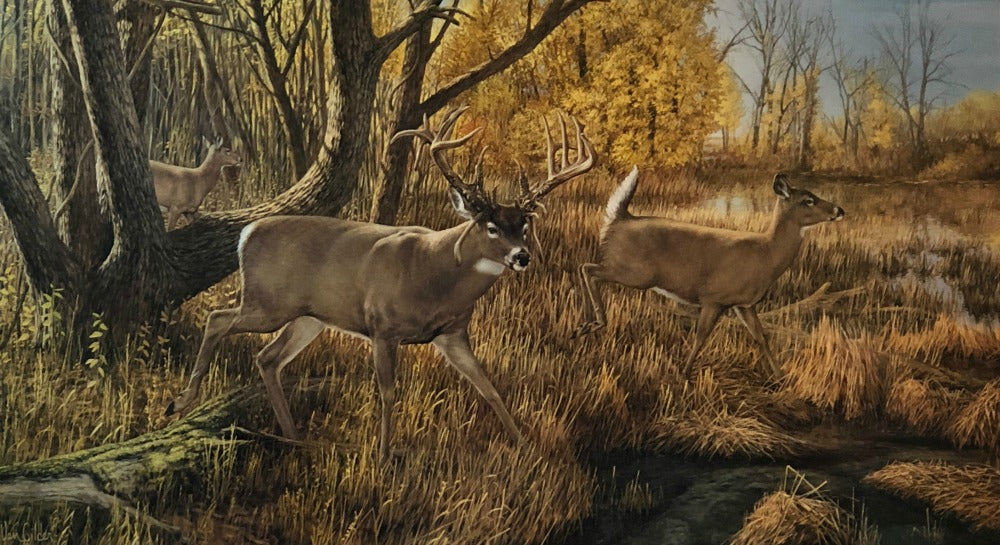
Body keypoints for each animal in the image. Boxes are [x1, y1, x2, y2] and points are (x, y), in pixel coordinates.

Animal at [165, 107, 595, 461]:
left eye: (523, 225)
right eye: (490, 226)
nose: (522, 256)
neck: (434, 276)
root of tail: (246, 233)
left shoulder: (452, 333)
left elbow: (488, 387)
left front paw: (526, 446)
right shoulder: (383, 327)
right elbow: (388, 392)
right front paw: (385, 456)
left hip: (309, 317)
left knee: (267, 357)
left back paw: (292, 437)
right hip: (269, 302)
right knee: (219, 319)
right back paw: (182, 403)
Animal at [571, 168, 844, 379]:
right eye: (807, 200)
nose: (839, 210)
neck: (765, 254)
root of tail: (618, 218)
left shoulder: (743, 304)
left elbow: (761, 337)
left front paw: (780, 377)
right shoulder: (714, 297)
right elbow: (701, 337)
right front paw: (684, 373)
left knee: (584, 268)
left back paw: (583, 325)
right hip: (634, 272)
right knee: (587, 268)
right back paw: (595, 322)